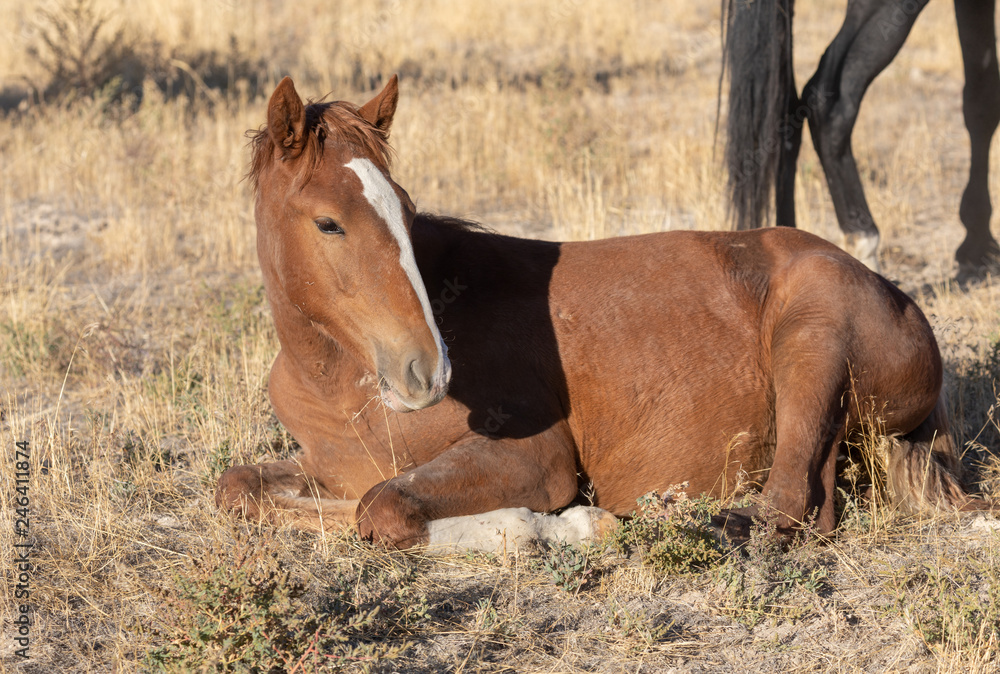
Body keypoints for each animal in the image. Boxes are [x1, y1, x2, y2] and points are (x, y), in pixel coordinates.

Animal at [215, 75, 985, 550]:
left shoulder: (536, 457)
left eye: (405, 212)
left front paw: (566, 527)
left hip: (812, 341)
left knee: (787, 503)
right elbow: (244, 488)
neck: (338, 383)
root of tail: (896, 292)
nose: (426, 372)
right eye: (328, 223)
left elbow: (382, 506)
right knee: (818, 500)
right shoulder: (318, 466)